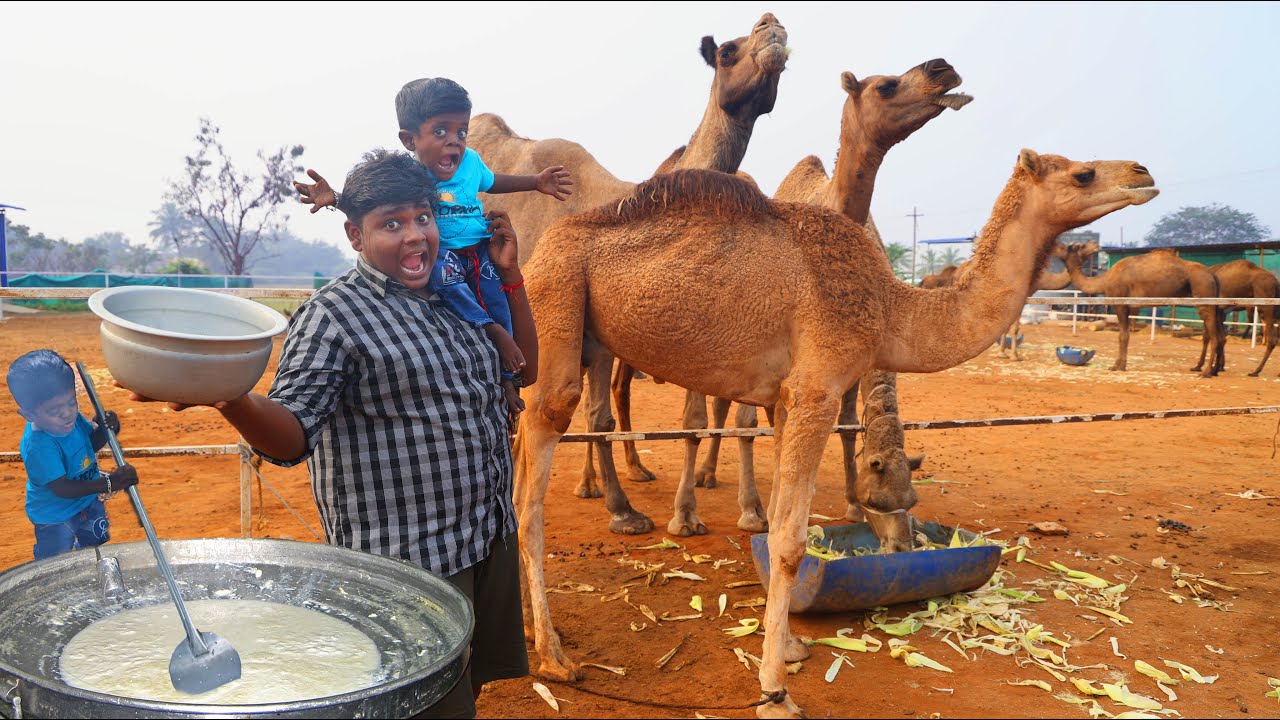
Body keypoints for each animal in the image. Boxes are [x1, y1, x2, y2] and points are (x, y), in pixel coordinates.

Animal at [472, 13, 789, 535]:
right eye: (727, 51)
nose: (772, 25)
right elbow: (591, 415)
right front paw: (624, 512)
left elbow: (599, 415)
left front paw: (622, 503)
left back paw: (616, 475)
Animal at [515, 152, 1158, 716]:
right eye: (1083, 172)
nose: (1143, 173)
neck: (889, 307)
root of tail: (536, 255)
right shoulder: (817, 390)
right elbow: (790, 541)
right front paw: (775, 695)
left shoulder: (784, 400)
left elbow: (777, 528)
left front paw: (789, 648)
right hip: (554, 313)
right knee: (532, 488)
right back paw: (554, 658)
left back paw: (529, 629)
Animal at [1064, 245, 1224, 377]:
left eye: (1074, 247)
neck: (1106, 279)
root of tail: (1212, 275)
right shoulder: (1130, 307)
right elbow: (1126, 335)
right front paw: (1120, 366)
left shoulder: (1120, 303)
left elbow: (1122, 336)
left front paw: (1117, 367)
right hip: (1214, 302)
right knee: (1219, 334)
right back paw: (1213, 370)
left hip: (1203, 293)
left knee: (1214, 336)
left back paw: (1206, 372)